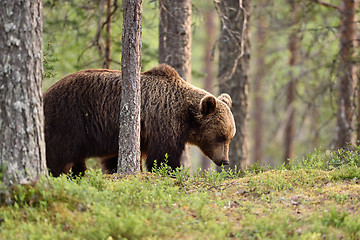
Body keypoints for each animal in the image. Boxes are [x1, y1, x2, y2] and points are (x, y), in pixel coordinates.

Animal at [44, 63, 236, 176]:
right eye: (221, 136)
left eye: (230, 137)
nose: (225, 160)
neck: (186, 117)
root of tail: (45, 93)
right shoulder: (163, 121)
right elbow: (163, 156)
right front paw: (170, 171)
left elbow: (114, 158)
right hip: (68, 118)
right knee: (58, 154)